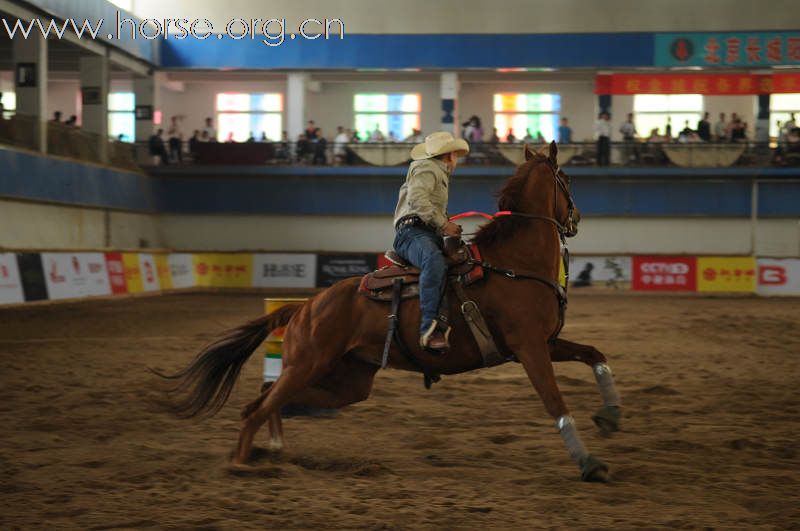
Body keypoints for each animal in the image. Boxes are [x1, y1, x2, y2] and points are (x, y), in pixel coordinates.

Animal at [156, 143, 620, 484]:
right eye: (566, 179)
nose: (576, 218)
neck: (513, 263)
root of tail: (307, 307)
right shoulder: (529, 347)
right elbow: (555, 401)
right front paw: (590, 464)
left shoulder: (544, 342)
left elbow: (595, 354)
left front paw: (610, 416)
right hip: (307, 365)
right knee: (259, 405)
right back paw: (239, 463)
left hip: (346, 381)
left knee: (269, 399)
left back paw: (268, 450)